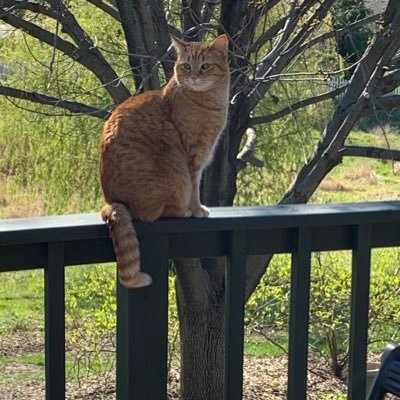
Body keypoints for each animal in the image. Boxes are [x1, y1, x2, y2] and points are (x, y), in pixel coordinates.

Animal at [99, 34, 230, 288]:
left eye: (205, 66)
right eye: (186, 66)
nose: (193, 77)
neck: (210, 102)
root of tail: (112, 200)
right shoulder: (194, 156)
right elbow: (195, 189)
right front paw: (197, 209)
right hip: (175, 173)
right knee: (157, 212)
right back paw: (183, 211)